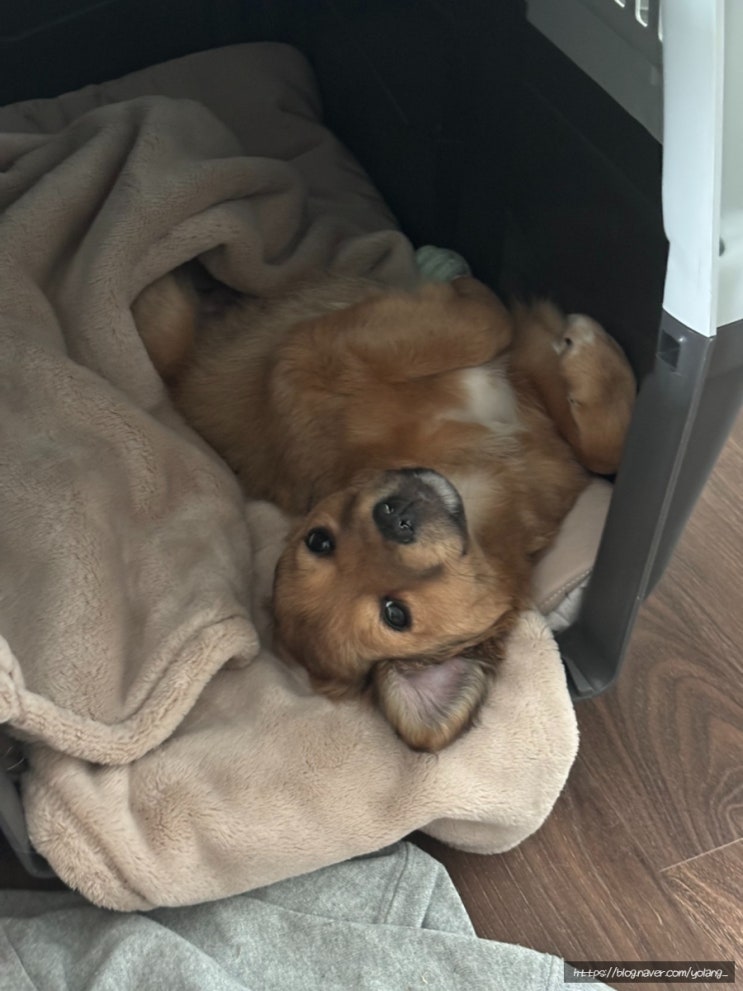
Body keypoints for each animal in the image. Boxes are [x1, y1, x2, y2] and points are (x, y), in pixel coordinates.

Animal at [133, 270, 635, 752]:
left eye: (318, 540)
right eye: (396, 615)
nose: (396, 517)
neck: (476, 471)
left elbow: (601, 450)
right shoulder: (311, 354)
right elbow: (487, 323)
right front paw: (482, 295)